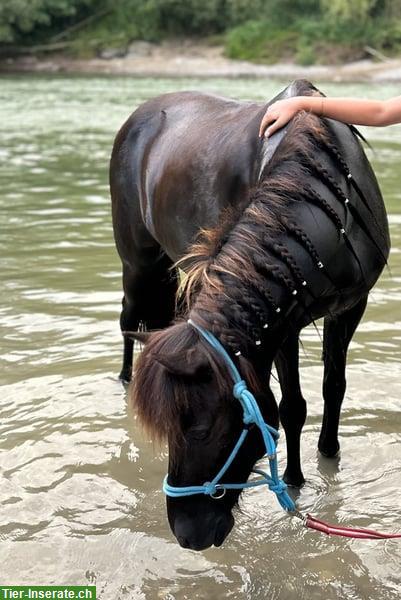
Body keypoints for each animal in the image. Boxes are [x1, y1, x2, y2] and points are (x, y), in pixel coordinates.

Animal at [109, 81, 388, 552]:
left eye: (200, 431)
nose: (187, 534)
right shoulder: (284, 325)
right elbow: (291, 406)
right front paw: (294, 480)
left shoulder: (349, 308)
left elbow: (332, 389)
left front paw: (327, 457)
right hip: (139, 265)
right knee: (128, 324)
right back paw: (124, 381)